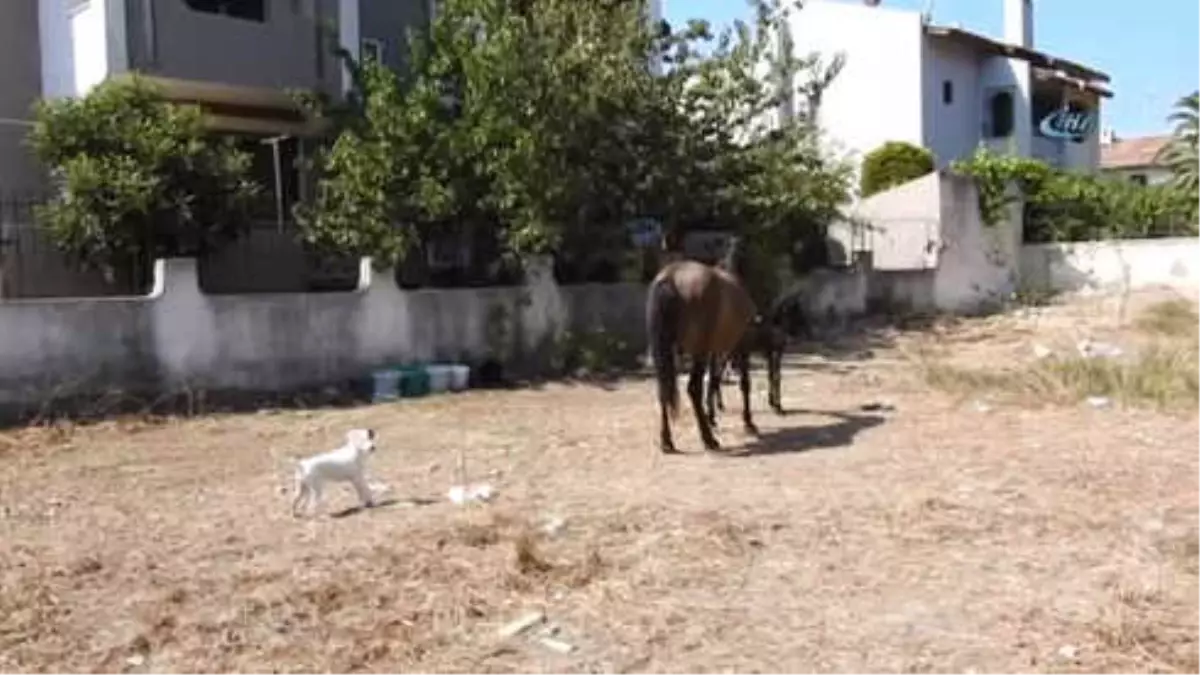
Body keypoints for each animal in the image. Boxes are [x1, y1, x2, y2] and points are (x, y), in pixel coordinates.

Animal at [652, 234, 753, 449]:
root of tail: (671, 277)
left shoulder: (714, 351)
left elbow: (714, 381)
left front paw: (712, 416)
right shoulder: (741, 344)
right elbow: (744, 383)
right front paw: (748, 423)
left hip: (669, 352)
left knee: (664, 388)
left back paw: (667, 440)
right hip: (698, 352)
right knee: (693, 388)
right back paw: (708, 439)